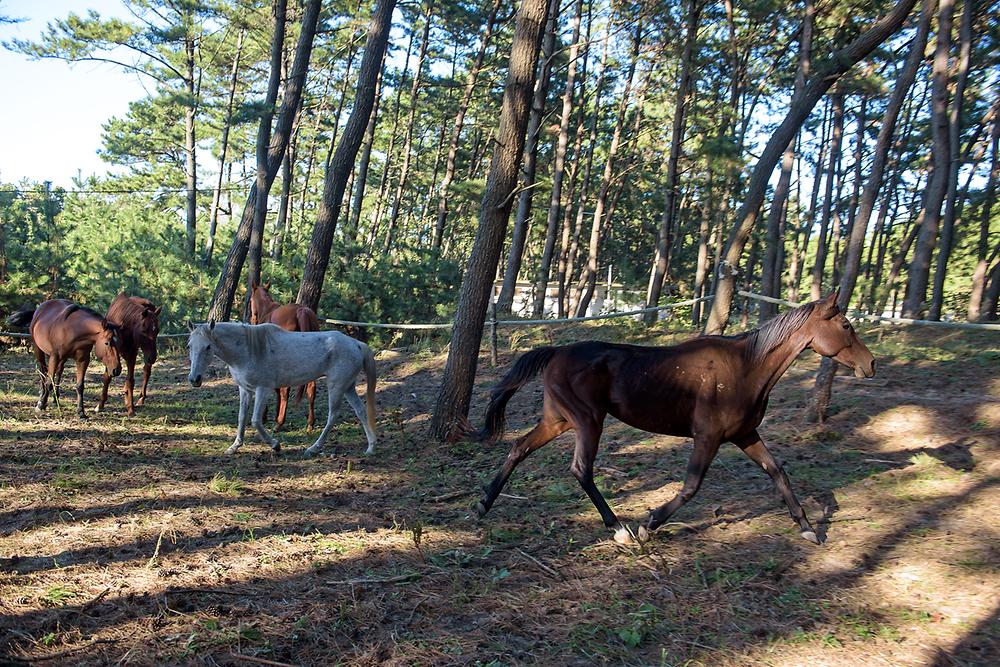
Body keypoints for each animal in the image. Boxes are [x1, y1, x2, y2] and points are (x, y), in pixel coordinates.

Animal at [186, 320, 376, 456]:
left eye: (208, 346)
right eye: (189, 345)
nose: (195, 379)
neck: (249, 349)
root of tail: (357, 344)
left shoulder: (263, 389)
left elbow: (255, 420)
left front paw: (275, 445)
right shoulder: (245, 390)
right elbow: (241, 417)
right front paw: (234, 447)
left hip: (336, 386)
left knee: (333, 416)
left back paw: (313, 448)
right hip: (348, 387)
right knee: (361, 410)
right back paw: (370, 448)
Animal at [248, 284, 318, 430]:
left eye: (251, 300)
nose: (252, 320)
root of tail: (302, 310)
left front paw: (266, 416)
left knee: (286, 389)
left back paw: (279, 423)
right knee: (311, 388)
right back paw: (310, 423)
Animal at [472, 292, 872, 548]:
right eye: (846, 325)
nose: (870, 364)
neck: (746, 367)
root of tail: (556, 351)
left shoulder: (745, 433)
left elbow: (777, 472)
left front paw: (807, 528)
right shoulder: (708, 436)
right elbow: (691, 486)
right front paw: (648, 526)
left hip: (559, 420)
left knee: (518, 448)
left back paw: (482, 506)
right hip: (587, 421)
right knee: (580, 469)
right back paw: (618, 529)